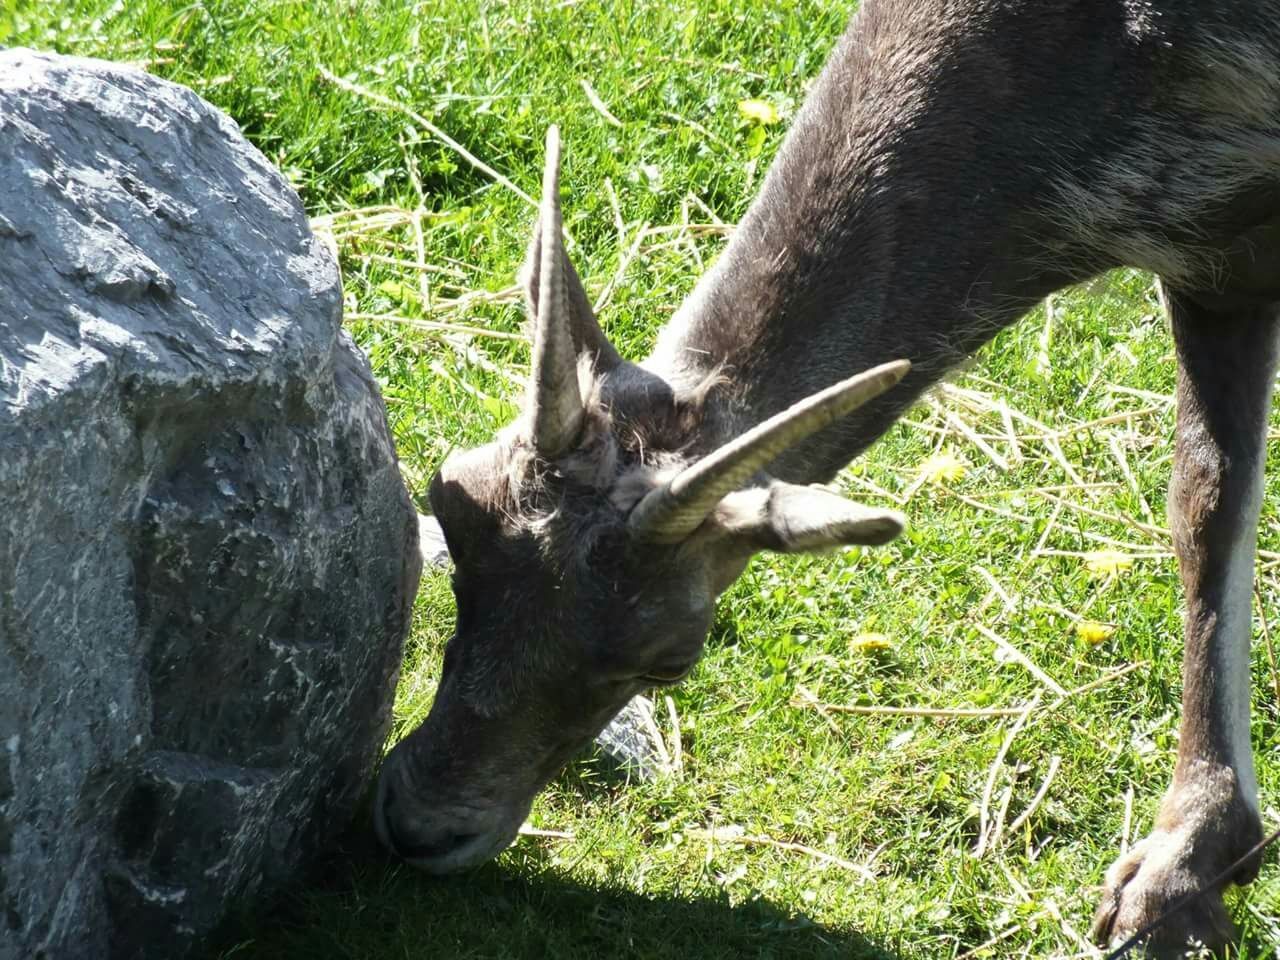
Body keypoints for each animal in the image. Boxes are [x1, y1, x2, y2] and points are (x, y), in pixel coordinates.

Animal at [373, 5, 1280, 957]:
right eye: (453, 498)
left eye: (670, 657)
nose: (420, 821)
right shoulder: (1214, 258)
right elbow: (1203, 503)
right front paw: (1191, 862)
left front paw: (1178, 877)